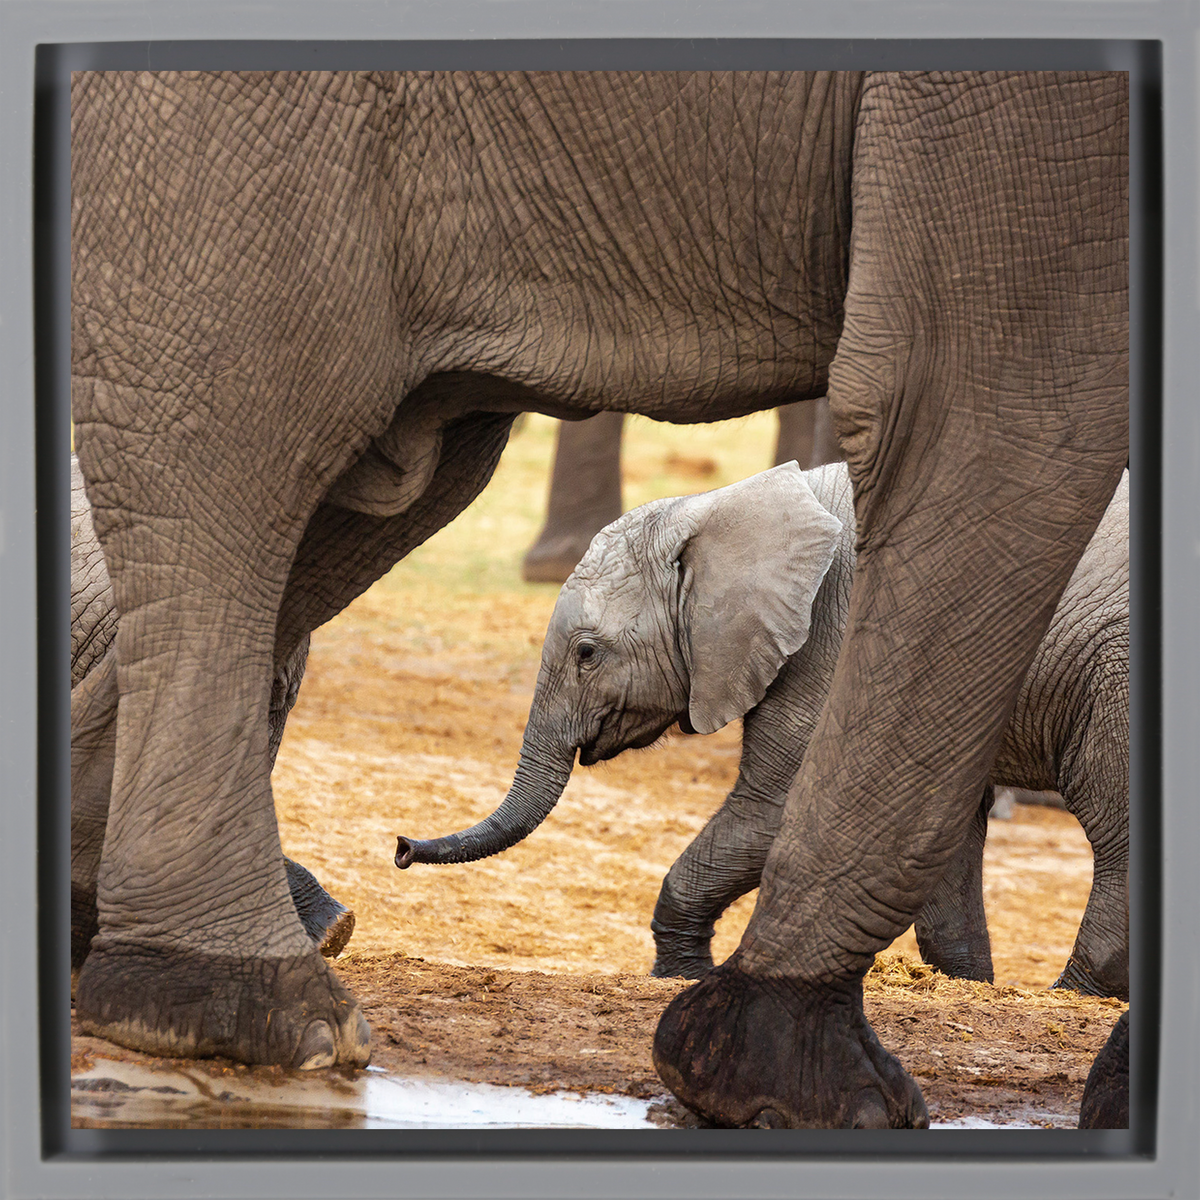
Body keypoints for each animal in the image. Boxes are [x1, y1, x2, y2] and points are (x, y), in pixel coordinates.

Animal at [397, 461, 1130, 999]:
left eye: (586, 653)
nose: (401, 847)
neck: (728, 509)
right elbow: (935, 827)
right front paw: (965, 985)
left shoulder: (839, 641)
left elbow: (785, 808)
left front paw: (684, 977)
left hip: (1115, 672)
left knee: (1114, 825)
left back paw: (1077, 994)